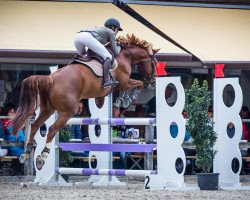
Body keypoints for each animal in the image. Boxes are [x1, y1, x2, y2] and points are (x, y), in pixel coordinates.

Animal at [11, 34, 158, 169]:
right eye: (153, 63)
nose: (153, 79)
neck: (124, 55)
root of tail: (50, 79)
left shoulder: (117, 86)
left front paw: (120, 101)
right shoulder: (124, 82)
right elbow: (138, 84)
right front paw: (127, 100)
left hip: (48, 109)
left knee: (35, 125)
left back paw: (26, 153)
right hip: (67, 112)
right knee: (52, 129)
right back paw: (43, 156)